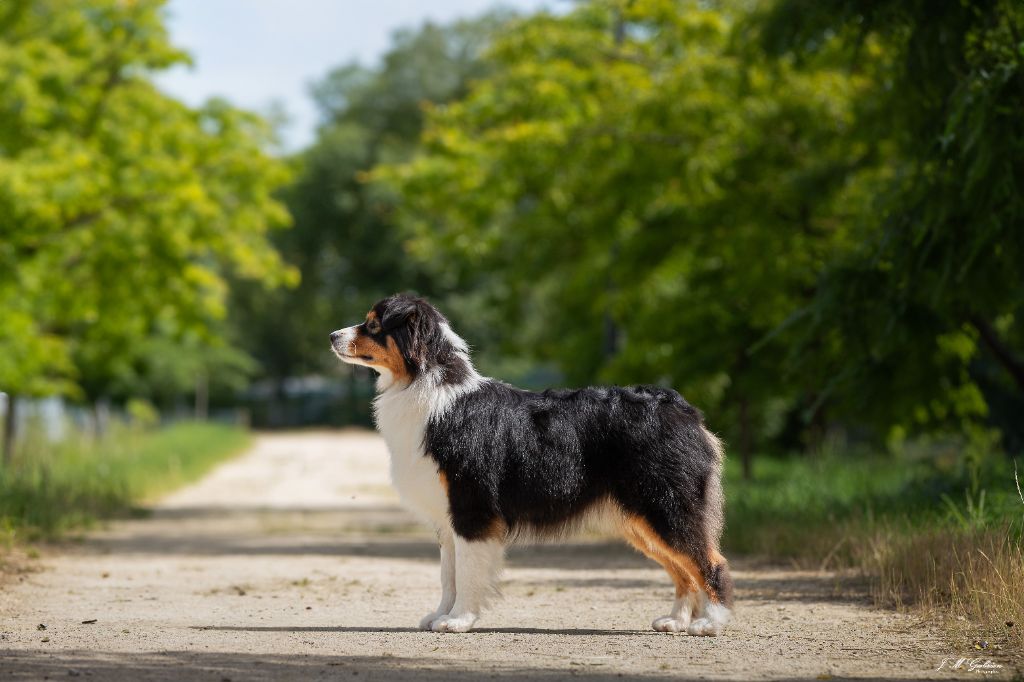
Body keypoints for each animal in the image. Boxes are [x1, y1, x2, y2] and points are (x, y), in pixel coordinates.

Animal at [331, 294, 733, 634]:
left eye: (373, 325)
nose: (333, 335)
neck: (425, 385)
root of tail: (684, 410)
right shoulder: (447, 517)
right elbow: (448, 574)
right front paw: (439, 615)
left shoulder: (471, 508)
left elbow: (468, 571)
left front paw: (458, 620)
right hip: (641, 517)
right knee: (683, 570)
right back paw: (675, 621)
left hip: (666, 506)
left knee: (710, 561)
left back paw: (710, 623)